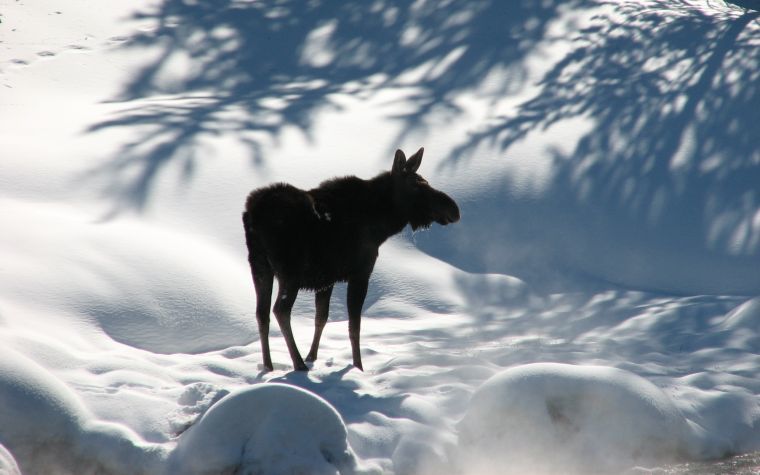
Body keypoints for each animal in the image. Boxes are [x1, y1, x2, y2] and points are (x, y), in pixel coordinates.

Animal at [242, 148, 460, 371]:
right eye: (417, 185)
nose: (454, 209)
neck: (382, 225)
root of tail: (252, 214)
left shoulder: (326, 280)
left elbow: (321, 318)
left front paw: (313, 356)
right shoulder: (361, 273)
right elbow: (354, 326)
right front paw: (358, 367)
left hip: (259, 266)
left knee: (262, 313)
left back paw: (268, 366)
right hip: (290, 272)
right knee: (280, 310)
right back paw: (298, 364)